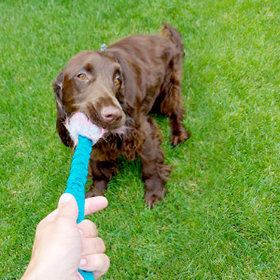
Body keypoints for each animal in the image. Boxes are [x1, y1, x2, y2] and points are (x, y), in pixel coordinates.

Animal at [53, 23, 189, 208]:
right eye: (81, 76)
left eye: (117, 80)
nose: (115, 115)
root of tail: (169, 42)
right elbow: (96, 167)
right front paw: (96, 194)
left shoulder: (144, 130)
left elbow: (150, 163)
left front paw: (154, 192)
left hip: (170, 84)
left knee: (175, 111)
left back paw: (178, 133)